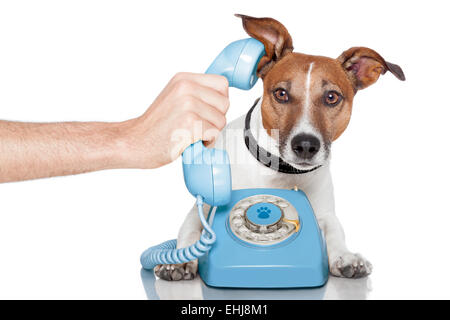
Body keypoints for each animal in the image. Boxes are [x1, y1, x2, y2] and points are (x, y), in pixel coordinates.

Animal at [155, 14, 404, 280]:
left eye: (332, 97)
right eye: (281, 93)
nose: (305, 145)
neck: (281, 172)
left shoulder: (324, 213)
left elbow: (335, 229)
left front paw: (345, 257)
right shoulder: (203, 205)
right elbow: (190, 230)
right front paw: (179, 261)